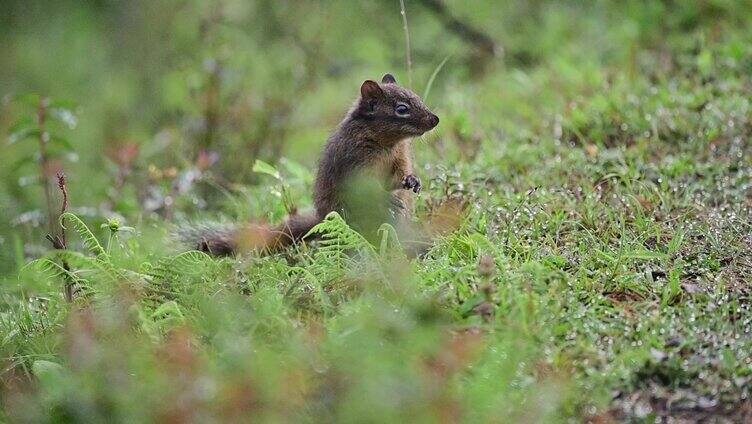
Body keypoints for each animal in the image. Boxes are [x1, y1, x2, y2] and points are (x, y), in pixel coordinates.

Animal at [182, 73, 438, 255]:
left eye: (417, 96)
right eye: (402, 109)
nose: (435, 120)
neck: (386, 143)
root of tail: (322, 220)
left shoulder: (399, 158)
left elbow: (397, 177)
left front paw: (412, 180)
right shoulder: (354, 162)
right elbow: (365, 187)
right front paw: (386, 198)